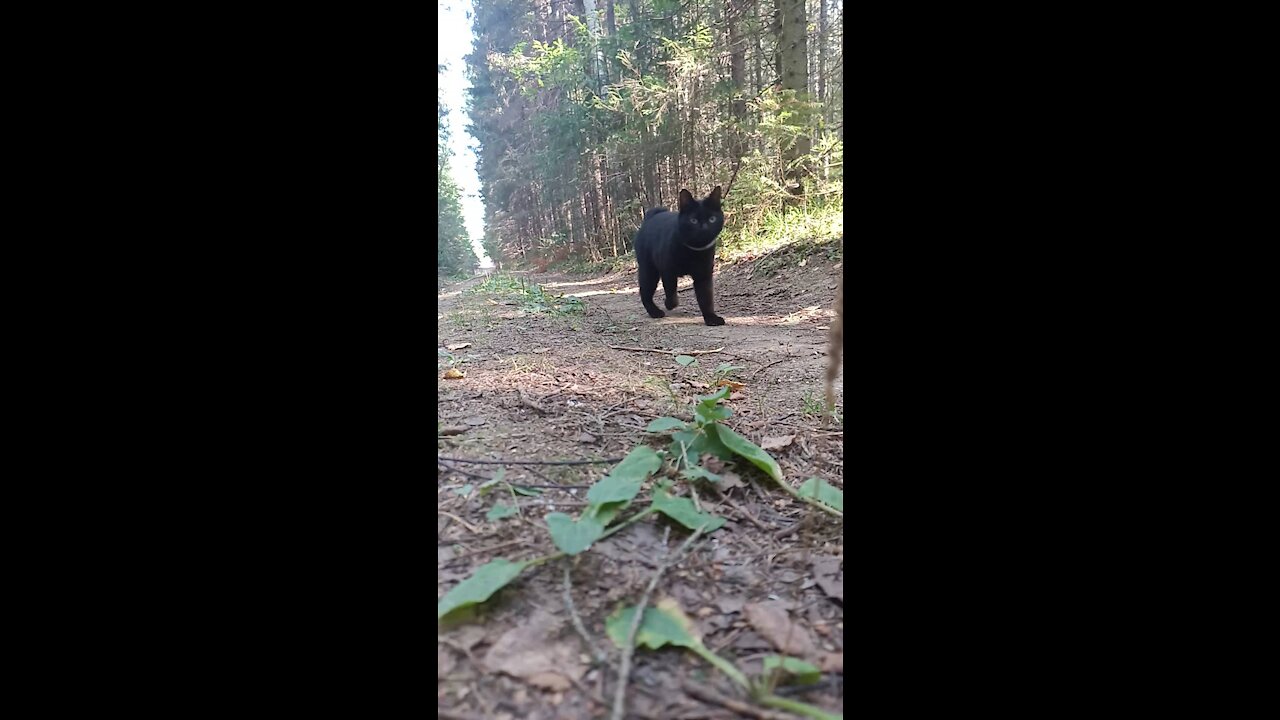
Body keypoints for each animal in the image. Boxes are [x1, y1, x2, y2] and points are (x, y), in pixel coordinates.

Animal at [634, 184, 727, 325]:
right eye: (693, 220)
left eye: (712, 219)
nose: (704, 228)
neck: (693, 253)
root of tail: (651, 216)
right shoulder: (668, 271)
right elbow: (671, 292)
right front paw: (669, 304)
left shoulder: (703, 275)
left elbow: (706, 298)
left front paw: (711, 318)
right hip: (649, 270)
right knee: (645, 293)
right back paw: (655, 312)